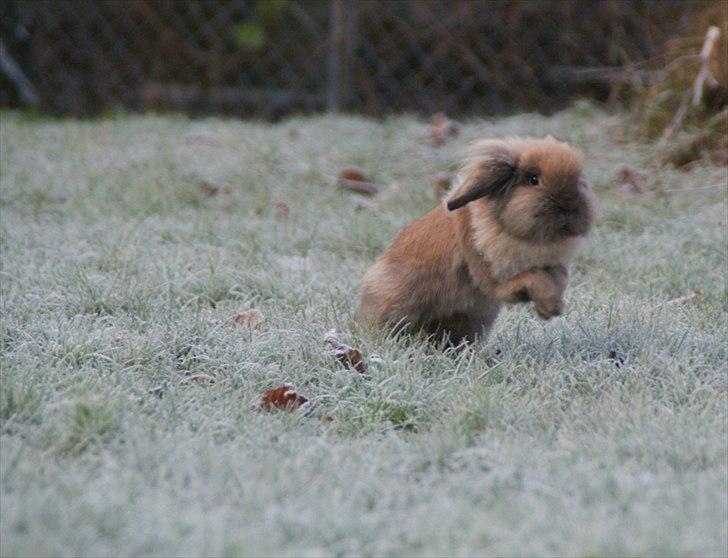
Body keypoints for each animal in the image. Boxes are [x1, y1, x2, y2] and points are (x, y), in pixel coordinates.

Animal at [356, 137, 596, 346]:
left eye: (579, 180)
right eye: (533, 179)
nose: (569, 207)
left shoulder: (555, 267)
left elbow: (557, 279)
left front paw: (554, 307)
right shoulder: (492, 276)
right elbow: (533, 278)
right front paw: (550, 309)